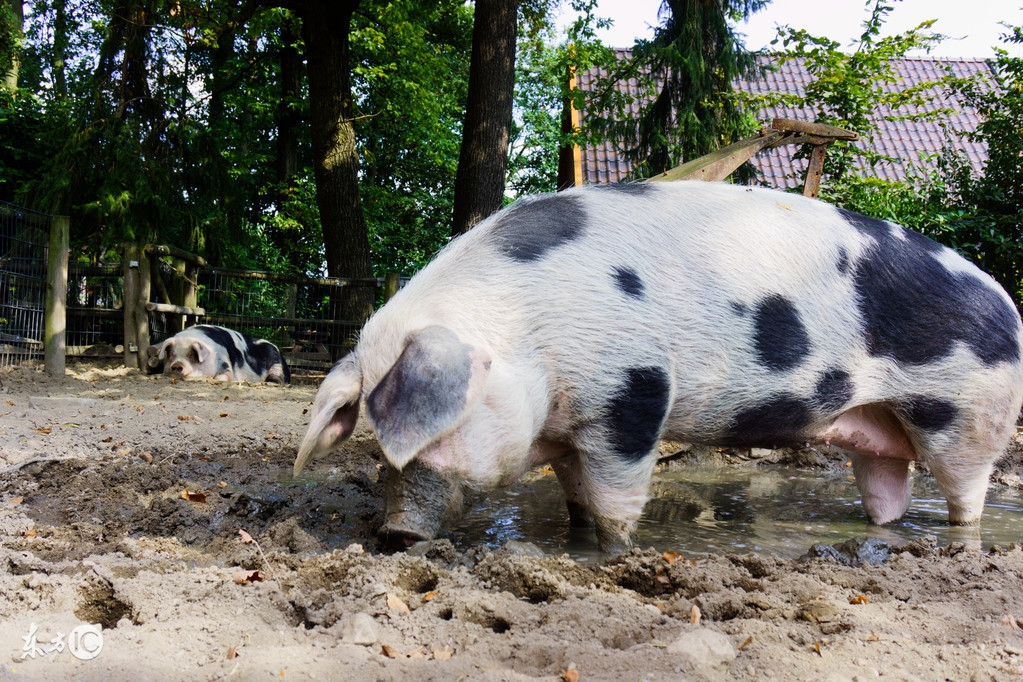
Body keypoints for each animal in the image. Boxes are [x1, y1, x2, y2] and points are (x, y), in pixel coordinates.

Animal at [151, 325, 290, 384]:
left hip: (277, 363)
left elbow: (223, 377)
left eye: (191, 355)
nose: (177, 365)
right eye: (171, 354)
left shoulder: (225, 363)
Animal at [292, 180, 1023, 556]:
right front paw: (576, 533)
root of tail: (1007, 302)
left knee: (966, 493)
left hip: (967, 416)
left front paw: (615, 553)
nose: (392, 534)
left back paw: (961, 537)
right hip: (880, 432)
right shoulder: (569, 425)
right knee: (886, 487)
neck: (525, 331)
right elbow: (577, 491)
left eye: (433, 436)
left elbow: (616, 500)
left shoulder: (634, 393)